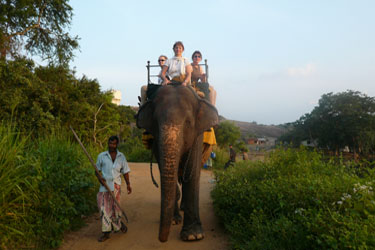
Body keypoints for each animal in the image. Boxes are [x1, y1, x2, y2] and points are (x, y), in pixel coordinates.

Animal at [136, 84, 219, 242]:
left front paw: (193, 236)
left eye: (188, 123)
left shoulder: (197, 134)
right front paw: (175, 221)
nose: (161, 239)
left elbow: (192, 170)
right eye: (155, 122)